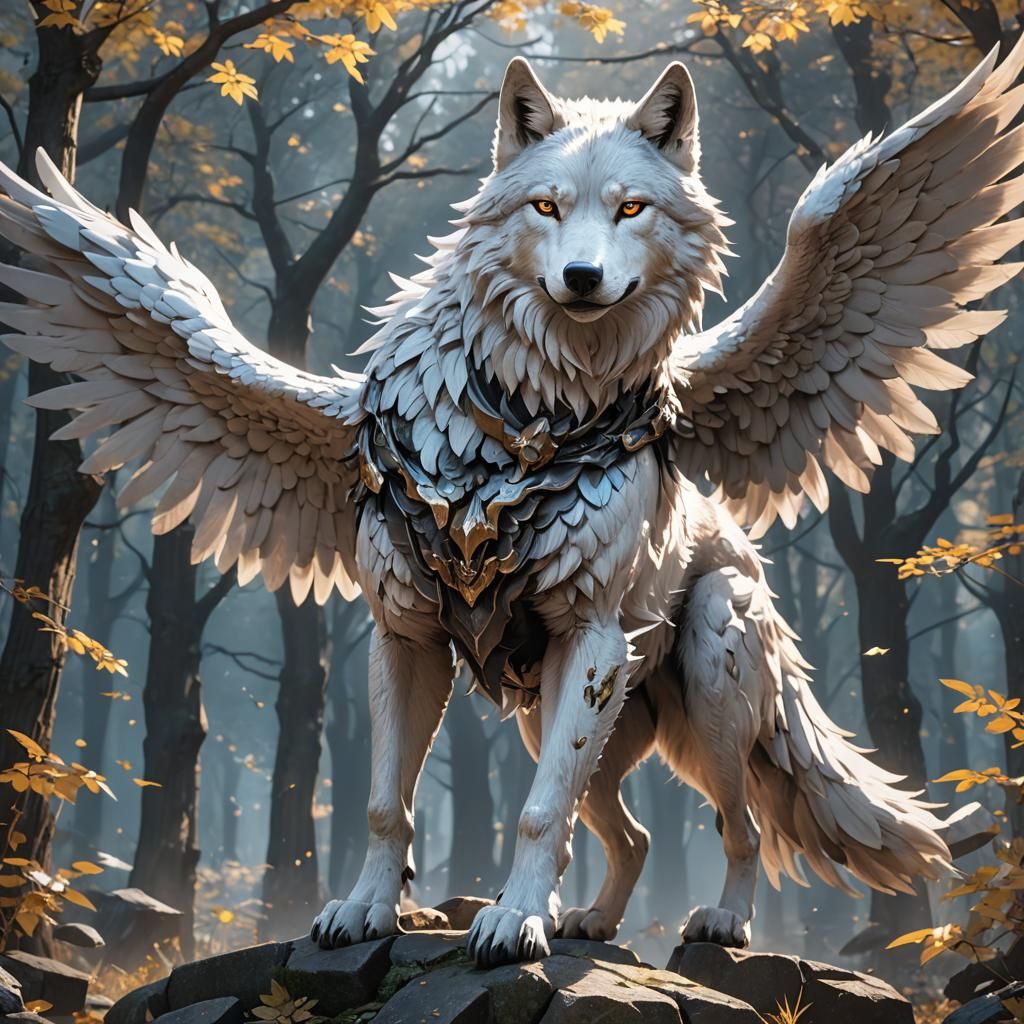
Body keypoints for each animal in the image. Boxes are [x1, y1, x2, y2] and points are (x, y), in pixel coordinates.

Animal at [1, 39, 1022, 966]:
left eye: (631, 208)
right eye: (546, 206)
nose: (581, 278)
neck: (520, 416)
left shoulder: (593, 637)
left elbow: (535, 814)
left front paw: (510, 925)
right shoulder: (404, 635)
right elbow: (386, 802)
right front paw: (364, 915)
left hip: (707, 665)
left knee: (737, 825)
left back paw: (720, 923)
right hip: (566, 717)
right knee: (633, 832)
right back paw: (592, 923)